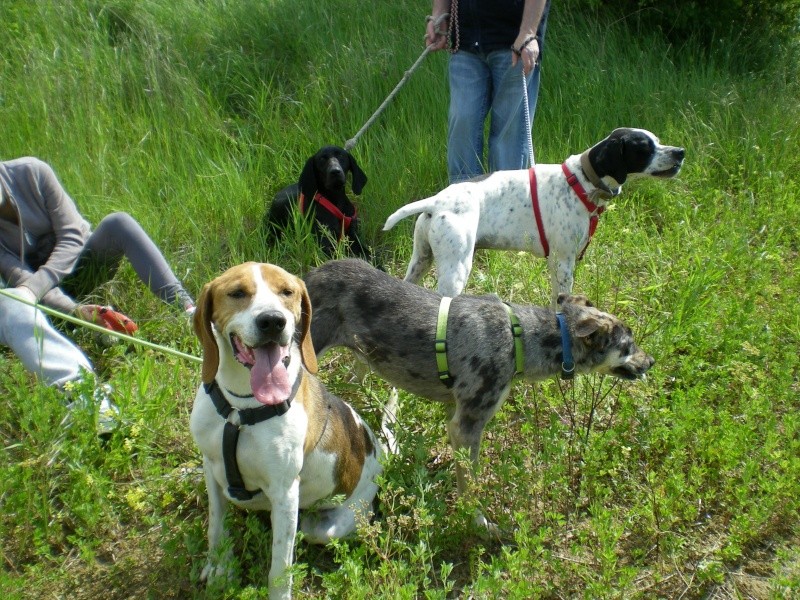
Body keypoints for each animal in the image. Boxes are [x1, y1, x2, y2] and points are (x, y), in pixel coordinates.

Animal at [192, 264, 382, 600]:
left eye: (287, 292)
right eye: (237, 292)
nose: (272, 321)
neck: (240, 408)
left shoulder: (284, 493)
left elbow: (280, 567)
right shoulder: (211, 468)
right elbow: (216, 526)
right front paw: (218, 567)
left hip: (323, 527)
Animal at [304, 260, 652, 532]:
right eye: (628, 345)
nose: (651, 362)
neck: (520, 338)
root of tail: (308, 276)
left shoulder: (455, 415)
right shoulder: (467, 425)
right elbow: (470, 485)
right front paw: (478, 522)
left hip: (363, 356)